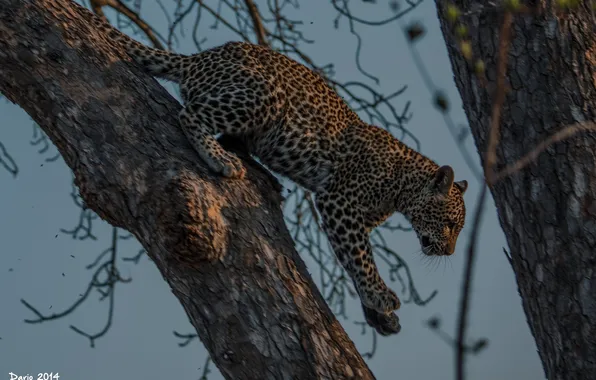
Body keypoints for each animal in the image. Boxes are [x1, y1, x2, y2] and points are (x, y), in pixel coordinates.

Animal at [81, 7, 468, 336]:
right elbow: (362, 257)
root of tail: (199, 57)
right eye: (450, 224)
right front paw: (380, 296)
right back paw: (221, 160)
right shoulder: (338, 201)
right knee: (190, 114)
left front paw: (377, 314)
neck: (402, 187)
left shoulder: (355, 218)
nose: (449, 253)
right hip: (264, 93)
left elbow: (352, 258)